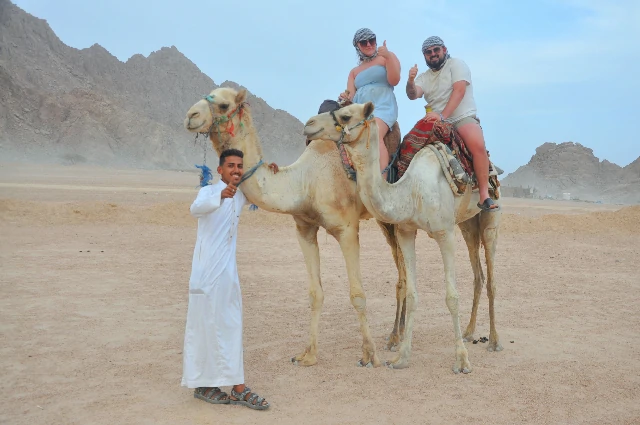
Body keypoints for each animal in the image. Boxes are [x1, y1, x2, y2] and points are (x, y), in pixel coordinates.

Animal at [183, 87, 408, 368]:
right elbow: (315, 293)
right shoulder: (304, 229)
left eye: (223, 104)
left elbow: (357, 294)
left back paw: (399, 339)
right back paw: (395, 336)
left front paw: (369, 355)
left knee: (404, 273)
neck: (305, 181)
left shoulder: (347, 229)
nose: (190, 116)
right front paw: (308, 354)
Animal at [302, 101, 503, 373]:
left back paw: (493, 341)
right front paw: (402, 357)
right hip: (467, 224)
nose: (309, 124)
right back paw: (470, 332)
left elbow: (451, 297)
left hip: (489, 219)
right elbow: (412, 293)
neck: (412, 190)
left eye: (345, 115)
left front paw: (461, 361)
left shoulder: (444, 232)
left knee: (491, 277)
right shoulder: (406, 231)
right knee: (478, 275)